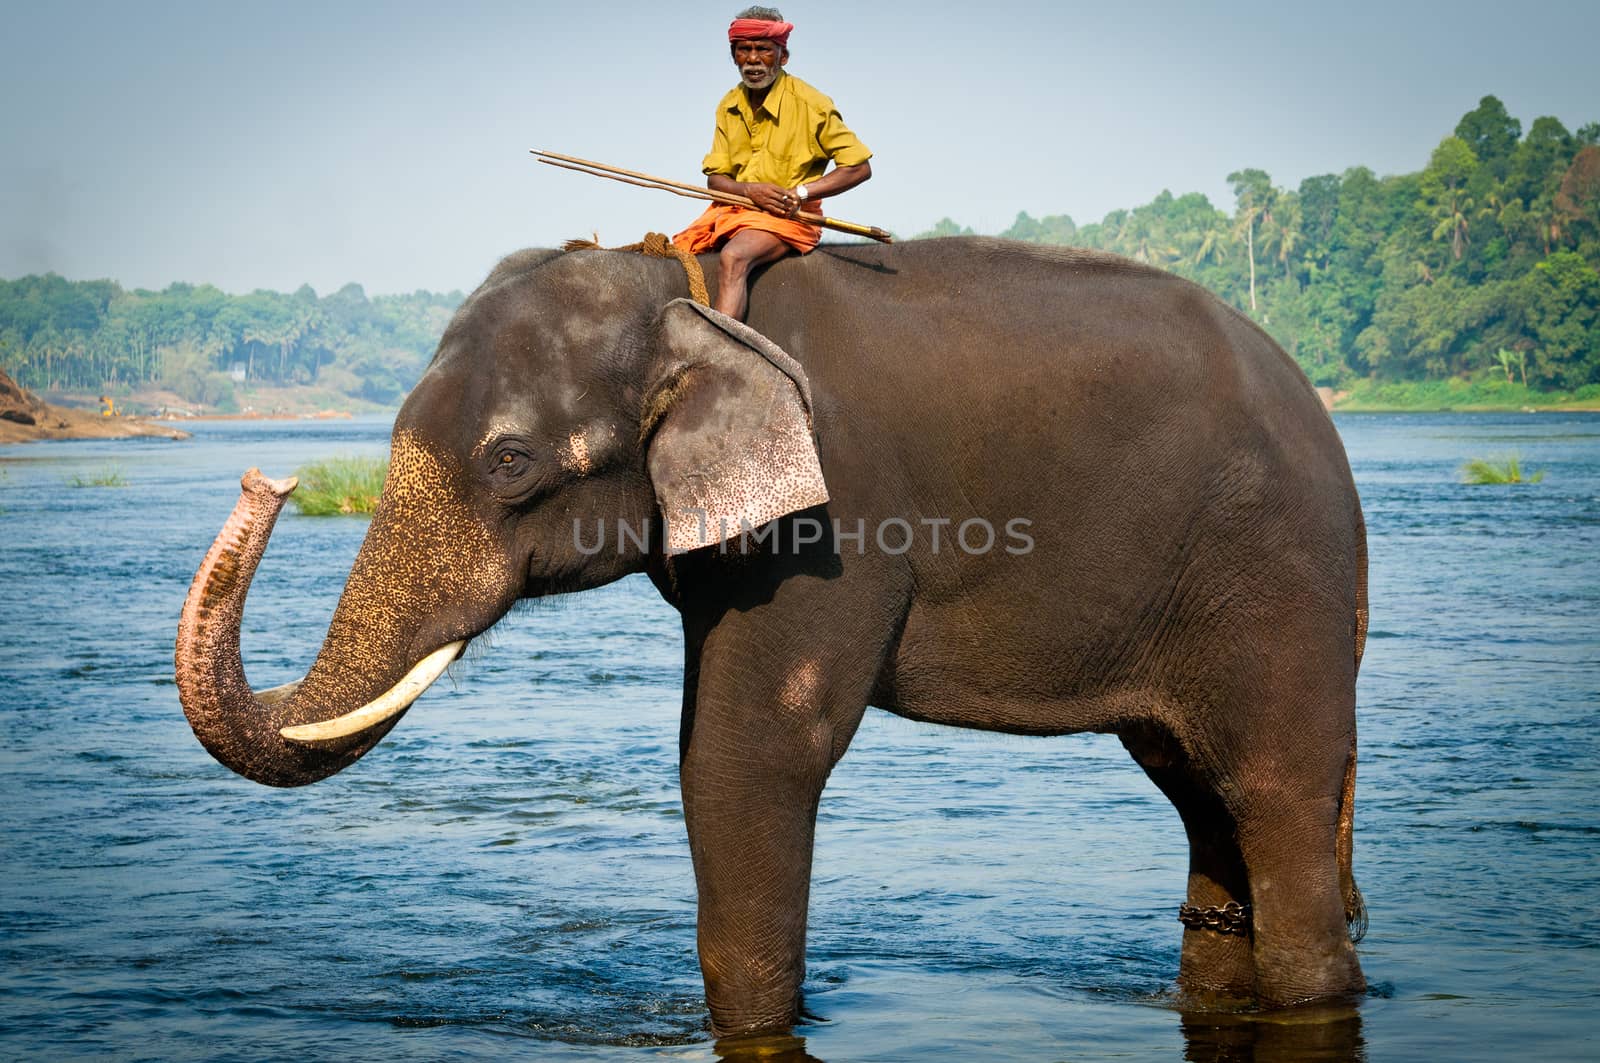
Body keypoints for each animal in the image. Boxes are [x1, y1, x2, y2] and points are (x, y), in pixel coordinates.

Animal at [178, 235, 1376, 1037]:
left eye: (511, 462)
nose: (266, 479)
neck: (680, 288)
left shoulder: (832, 516)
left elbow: (748, 752)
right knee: (1202, 798)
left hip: (1275, 584)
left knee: (1274, 787)